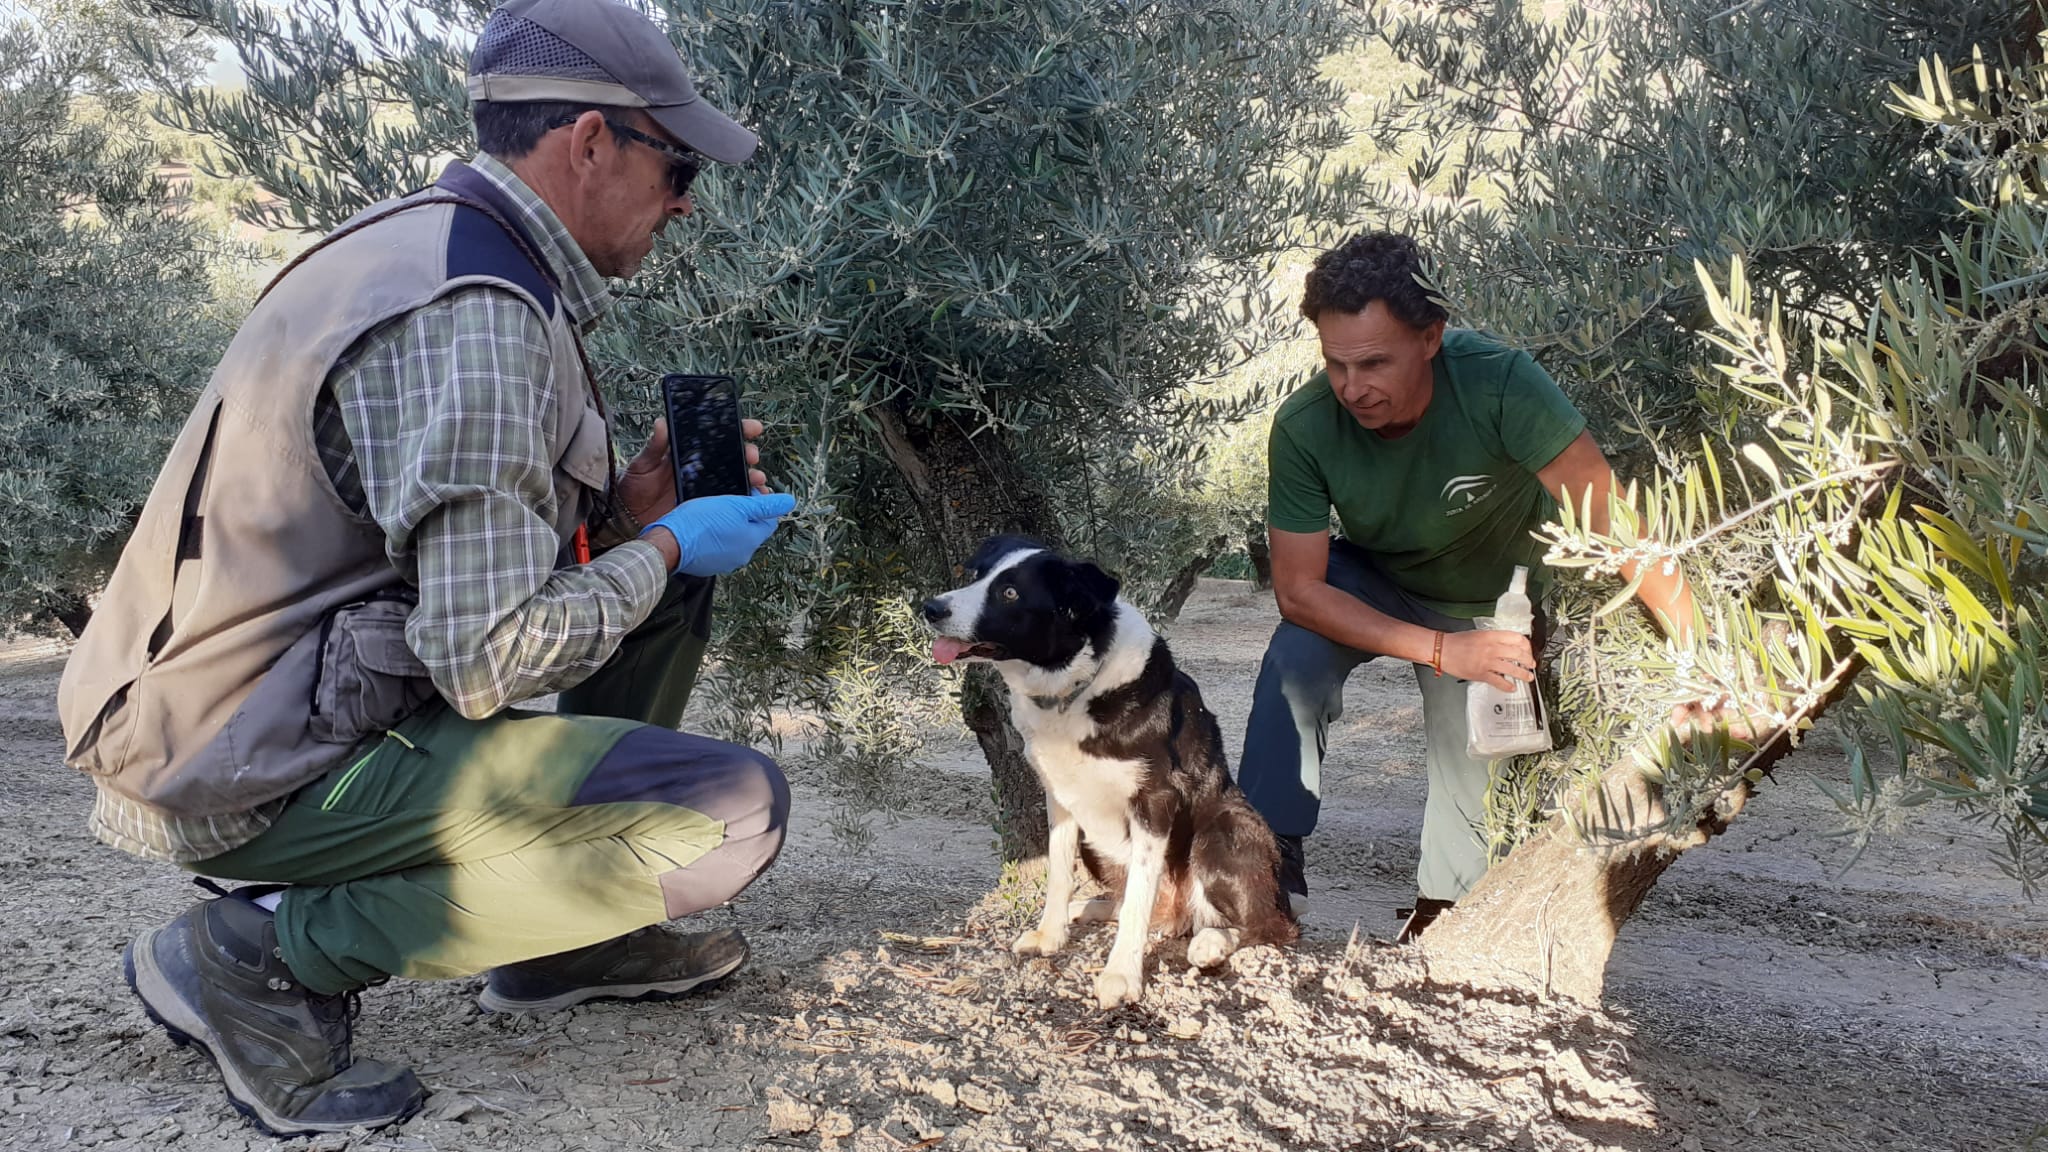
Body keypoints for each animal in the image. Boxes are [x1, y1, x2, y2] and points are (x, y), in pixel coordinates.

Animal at [929, 532, 1294, 1000]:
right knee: (1129, 903)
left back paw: (1210, 941)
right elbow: (1059, 871)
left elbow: (1139, 894)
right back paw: (1091, 907)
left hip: (1223, 828)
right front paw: (1050, 935)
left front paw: (1121, 974)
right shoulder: (1059, 796)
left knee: (1269, 927)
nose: (931, 607)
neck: (1073, 687)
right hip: (1096, 839)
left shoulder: (1155, 800)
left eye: (1009, 593)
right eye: (976, 575)